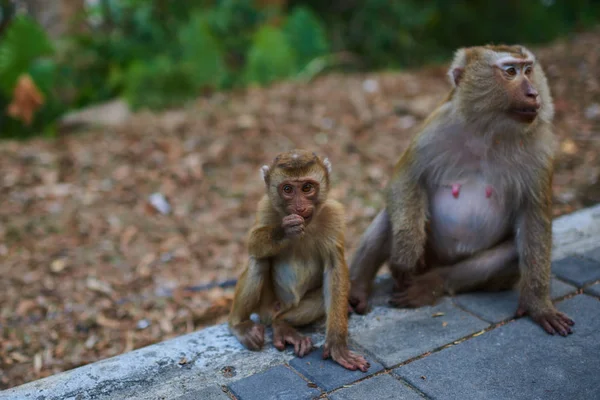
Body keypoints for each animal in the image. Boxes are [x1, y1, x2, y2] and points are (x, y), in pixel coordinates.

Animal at [229, 149, 370, 372]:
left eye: (307, 188)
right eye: (287, 189)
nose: (299, 207)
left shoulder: (333, 214)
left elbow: (334, 269)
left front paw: (337, 344)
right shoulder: (266, 206)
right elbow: (252, 243)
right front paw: (285, 230)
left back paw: (283, 325)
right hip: (267, 306)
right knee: (258, 261)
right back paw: (239, 325)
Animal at [350, 43, 576, 336]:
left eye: (528, 70)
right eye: (511, 72)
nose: (533, 93)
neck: (489, 131)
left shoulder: (540, 147)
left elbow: (534, 219)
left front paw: (538, 305)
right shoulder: (438, 124)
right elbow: (407, 178)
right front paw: (404, 258)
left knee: (511, 251)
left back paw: (431, 284)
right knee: (393, 214)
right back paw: (358, 287)